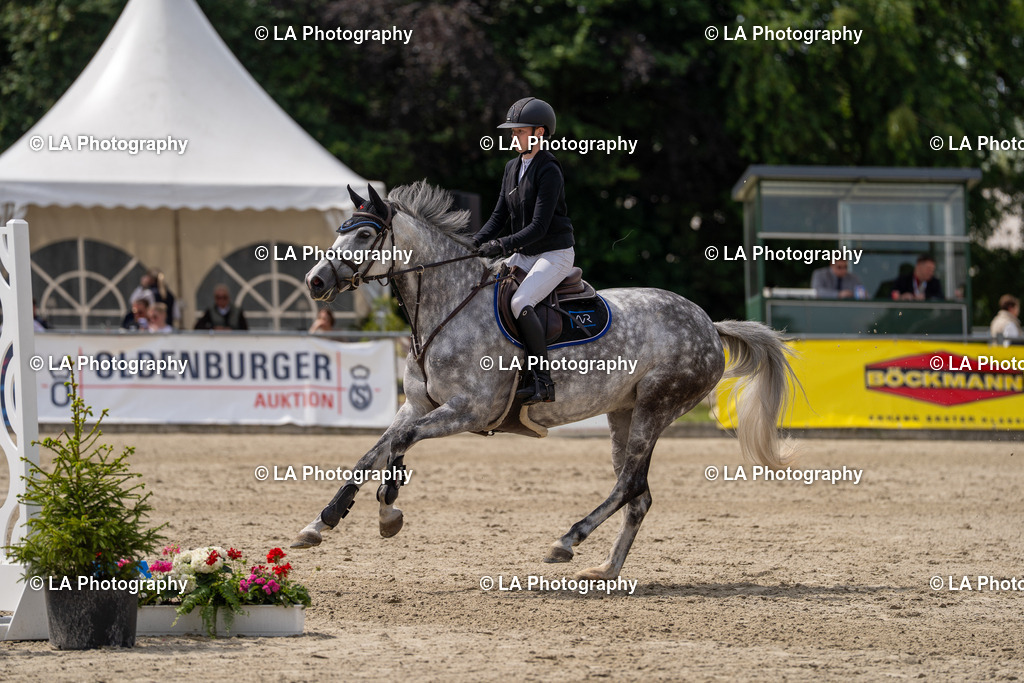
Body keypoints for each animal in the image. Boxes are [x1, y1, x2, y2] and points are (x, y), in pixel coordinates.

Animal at [293, 181, 798, 580]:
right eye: (340, 229)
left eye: (364, 233)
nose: (314, 282)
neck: (446, 306)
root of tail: (709, 324)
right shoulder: (417, 405)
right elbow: (373, 453)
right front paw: (321, 523)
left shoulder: (468, 411)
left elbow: (399, 445)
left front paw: (387, 510)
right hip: (624, 412)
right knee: (639, 494)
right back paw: (606, 569)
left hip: (656, 406)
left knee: (629, 486)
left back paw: (567, 540)